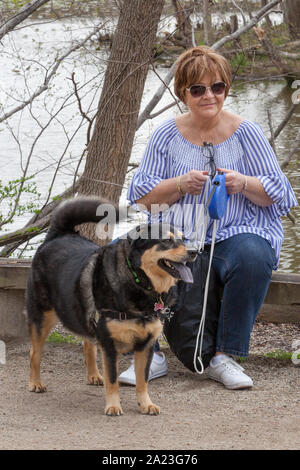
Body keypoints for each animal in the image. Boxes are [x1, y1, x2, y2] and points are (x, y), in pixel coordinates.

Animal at [25, 196, 195, 416]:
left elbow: (143, 380)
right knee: (35, 353)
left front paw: (146, 404)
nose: (194, 251)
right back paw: (35, 383)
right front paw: (113, 405)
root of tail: (58, 235)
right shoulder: (109, 345)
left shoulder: (146, 346)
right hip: (42, 316)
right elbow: (113, 379)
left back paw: (93, 375)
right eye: (166, 240)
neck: (138, 280)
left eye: (184, 239)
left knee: (88, 344)